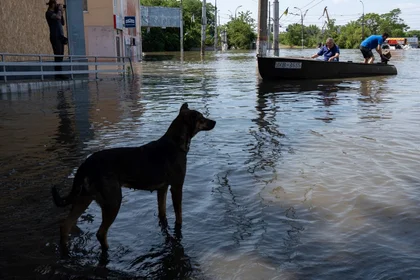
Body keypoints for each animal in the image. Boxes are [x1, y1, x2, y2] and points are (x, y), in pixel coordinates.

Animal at [51, 103, 217, 252]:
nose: (214, 122)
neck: (175, 143)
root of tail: (85, 165)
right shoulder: (177, 187)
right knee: (100, 233)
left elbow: (162, 212)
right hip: (113, 201)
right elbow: (179, 215)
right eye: (201, 118)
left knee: (65, 226)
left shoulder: (162, 189)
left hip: (84, 198)